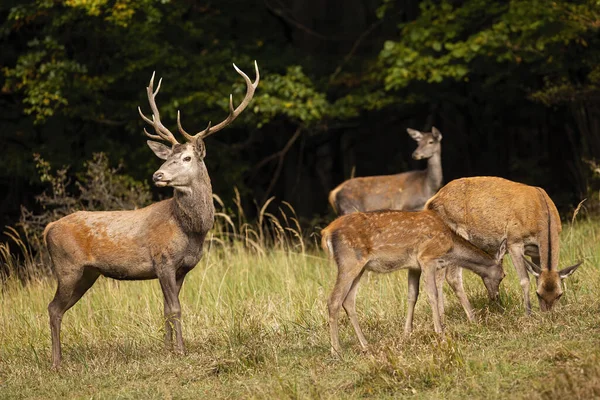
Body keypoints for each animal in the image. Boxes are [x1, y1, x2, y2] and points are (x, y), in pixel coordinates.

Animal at [42, 61, 258, 368]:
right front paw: (181, 350)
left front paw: (168, 349)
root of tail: (48, 228)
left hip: (87, 274)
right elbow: (175, 308)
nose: (158, 175)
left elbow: (167, 308)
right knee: (52, 308)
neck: (191, 230)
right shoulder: (163, 260)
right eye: (166, 158)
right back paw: (56, 363)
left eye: (186, 158)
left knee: (59, 309)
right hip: (67, 267)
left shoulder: (183, 268)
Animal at [318, 208, 506, 354]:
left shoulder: (414, 266)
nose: (496, 297)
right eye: (503, 275)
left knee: (348, 300)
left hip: (360, 267)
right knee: (334, 300)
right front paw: (439, 332)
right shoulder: (427, 258)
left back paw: (365, 344)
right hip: (349, 260)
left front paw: (407, 333)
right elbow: (432, 294)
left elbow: (412, 296)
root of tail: (326, 232)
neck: (449, 246)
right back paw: (336, 350)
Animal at [424, 177, 584, 314]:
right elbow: (525, 280)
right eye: (538, 294)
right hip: (457, 232)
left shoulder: (535, 251)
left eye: (559, 294)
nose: (548, 315)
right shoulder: (514, 241)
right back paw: (470, 317)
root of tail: (431, 202)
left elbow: (537, 276)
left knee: (438, 276)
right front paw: (528, 314)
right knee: (452, 277)